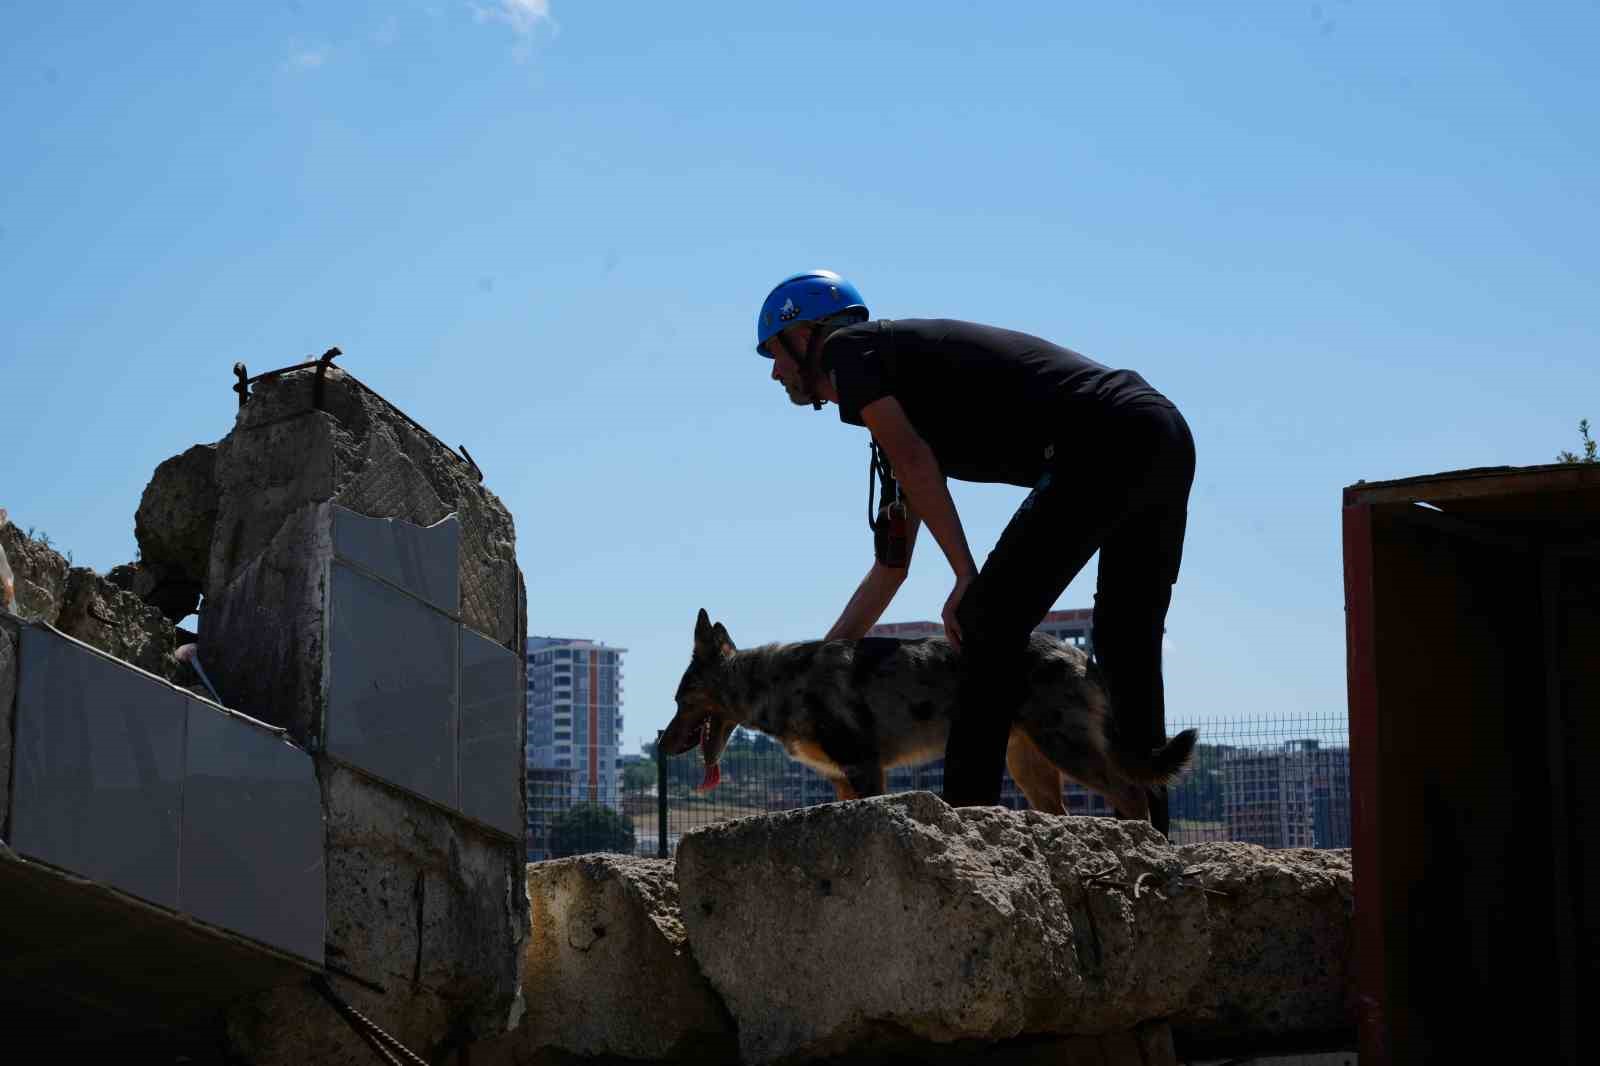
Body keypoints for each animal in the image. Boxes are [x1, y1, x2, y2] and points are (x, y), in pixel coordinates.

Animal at [656, 611, 1196, 816]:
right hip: (1028, 765)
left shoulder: (864, 770)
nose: (661, 745)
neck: (777, 681)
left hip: (1067, 747)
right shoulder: (843, 781)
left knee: (1131, 792)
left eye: (680, 701)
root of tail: (1082, 655)